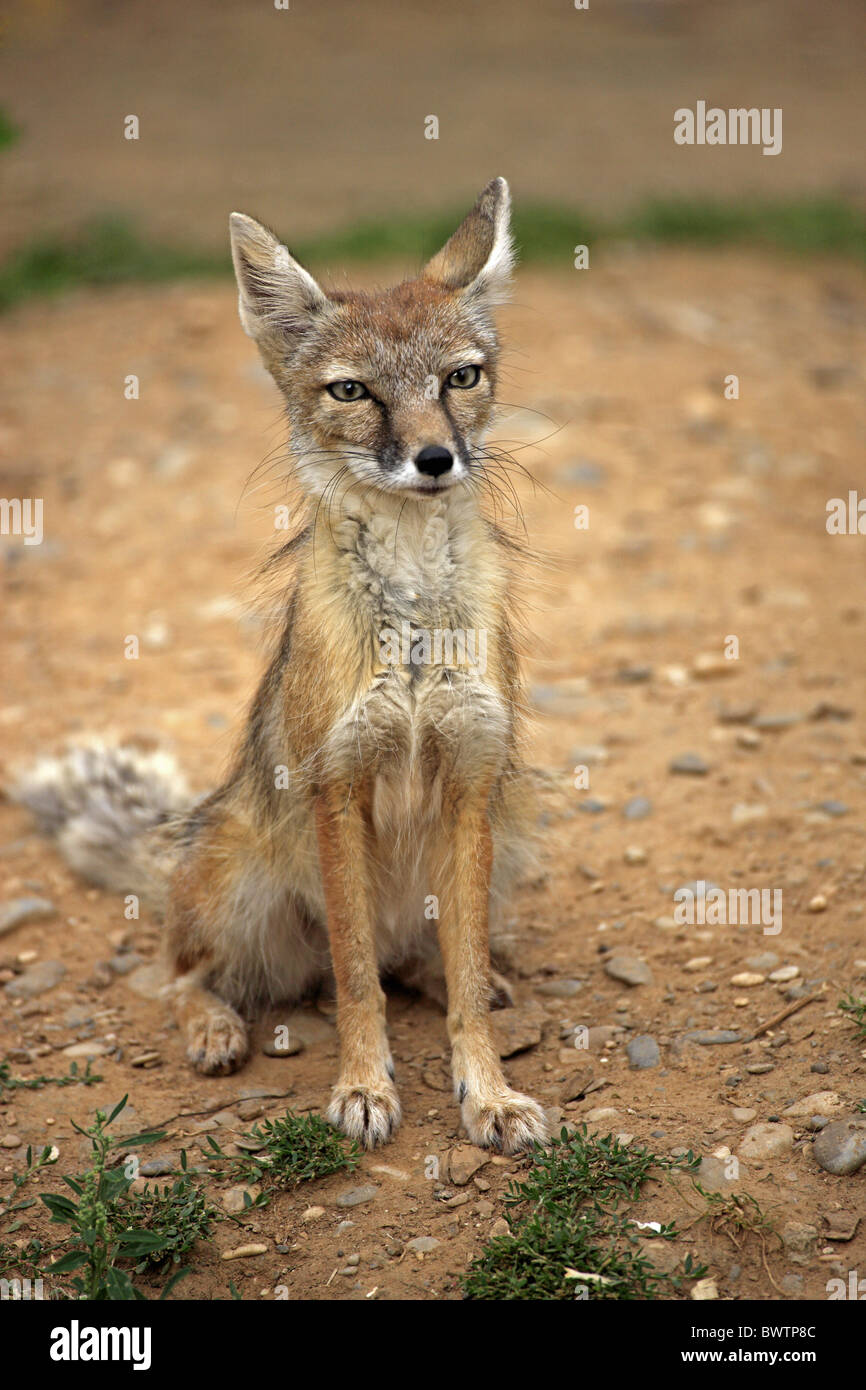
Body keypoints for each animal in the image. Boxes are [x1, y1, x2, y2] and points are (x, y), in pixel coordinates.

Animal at [13, 176, 547, 1150]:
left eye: (460, 377)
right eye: (353, 391)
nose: (435, 459)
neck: (414, 623)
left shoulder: (472, 782)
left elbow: (453, 986)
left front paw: (487, 1094)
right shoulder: (335, 786)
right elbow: (357, 980)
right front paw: (365, 1088)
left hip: (504, 837)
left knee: (426, 958)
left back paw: (467, 977)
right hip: (240, 889)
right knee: (186, 973)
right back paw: (216, 1028)